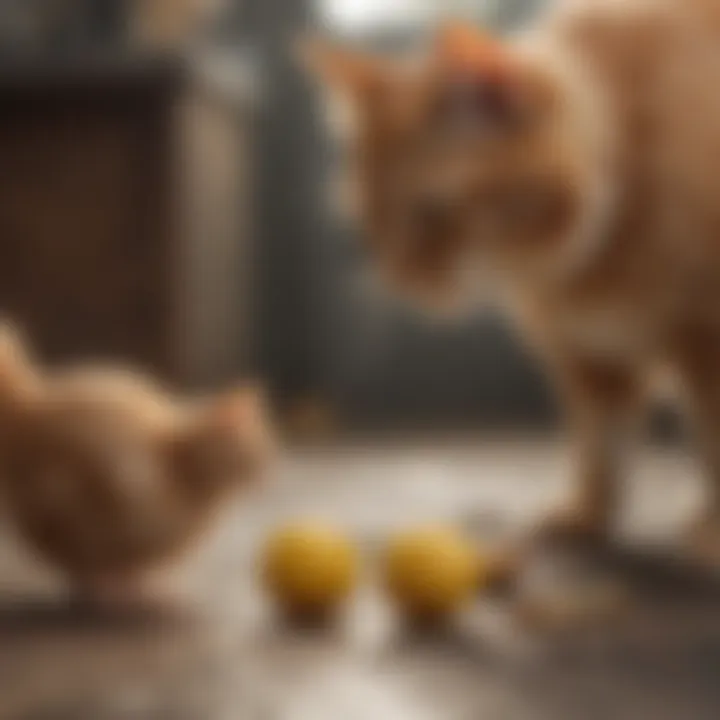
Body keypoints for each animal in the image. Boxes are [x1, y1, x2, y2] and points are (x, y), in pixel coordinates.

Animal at [0, 324, 272, 604]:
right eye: (258, 451)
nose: (268, 475)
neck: (179, 465)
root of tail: (26, 411)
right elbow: (87, 560)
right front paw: (111, 585)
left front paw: (137, 581)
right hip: (59, 496)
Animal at [306, 0, 720, 556]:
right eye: (370, 223)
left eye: (432, 215)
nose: (403, 280)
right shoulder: (588, 355)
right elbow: (600, 446)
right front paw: (588, 513)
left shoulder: (703, 343)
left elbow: (711, 442)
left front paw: (712, 527)